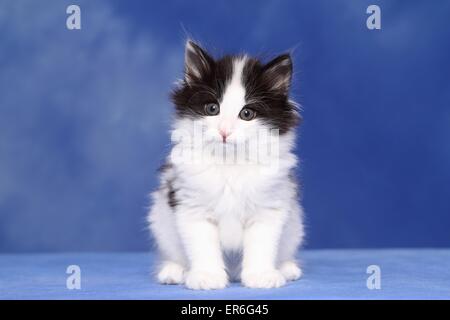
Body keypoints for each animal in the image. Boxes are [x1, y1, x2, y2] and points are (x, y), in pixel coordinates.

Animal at [149, 40, 304, 290]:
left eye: (247, 114)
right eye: (212, 109)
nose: (224, 131)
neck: (229, 164)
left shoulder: (268, 208)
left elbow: (261, 247)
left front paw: (261, 276)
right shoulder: (192, 207)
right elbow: (203, 248)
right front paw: (207, 277)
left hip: (295, 226)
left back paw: (287, 268)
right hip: (160, 221)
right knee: (174, 254)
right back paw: (174, 271)